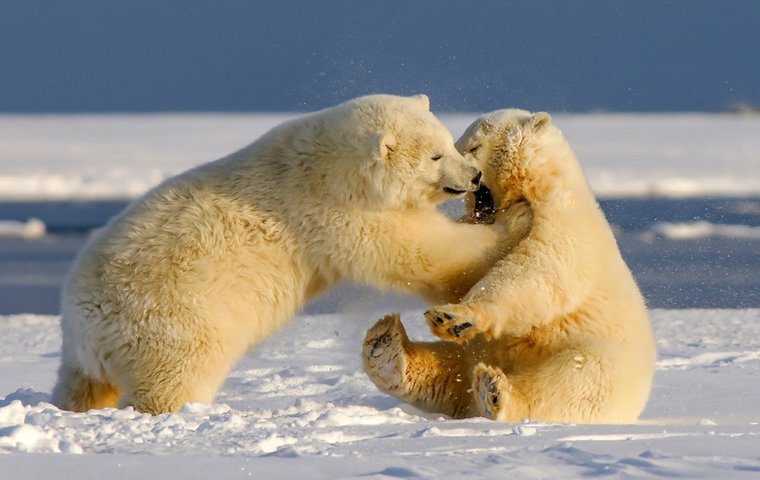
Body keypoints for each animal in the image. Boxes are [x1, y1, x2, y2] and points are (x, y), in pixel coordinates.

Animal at [53, 94, 520, 416]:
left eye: (450, 143)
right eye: (436, 154)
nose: (474, 176)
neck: (328, 166)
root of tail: (85, 322)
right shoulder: (334, 212)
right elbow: (422, 250)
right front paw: (516, 221)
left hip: (90, 353)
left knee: (81, 384)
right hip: (174, 322)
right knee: (176, 376)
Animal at [366, 109, 656, 424]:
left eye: (473, 146)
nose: (467, 176)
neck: (539, 185)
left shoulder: (564, 220)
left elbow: (537, 269)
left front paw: (453, 316)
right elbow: (461, 268)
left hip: (593, 356)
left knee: (570, 383)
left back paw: (494, 392)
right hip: (476, 353)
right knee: (450, 369)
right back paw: (387, 347)